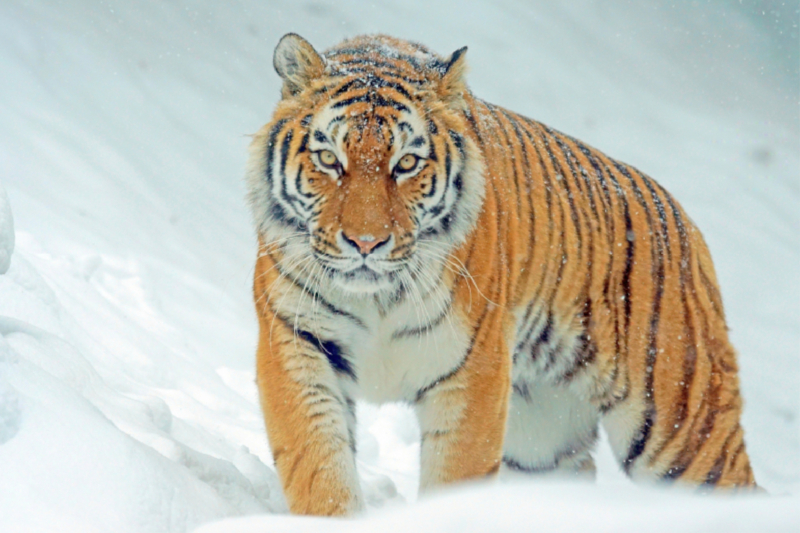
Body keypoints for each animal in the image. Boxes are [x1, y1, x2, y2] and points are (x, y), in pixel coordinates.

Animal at [247, 31, 760, 512]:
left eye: (407, 163)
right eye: (329, 159)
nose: (366, 243)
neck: (377, 297)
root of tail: (686, 223)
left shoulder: (474, 371)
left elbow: (454, 478)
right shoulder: (296, 343)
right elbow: (319, 468)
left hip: (682, 429)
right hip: (542, 441)